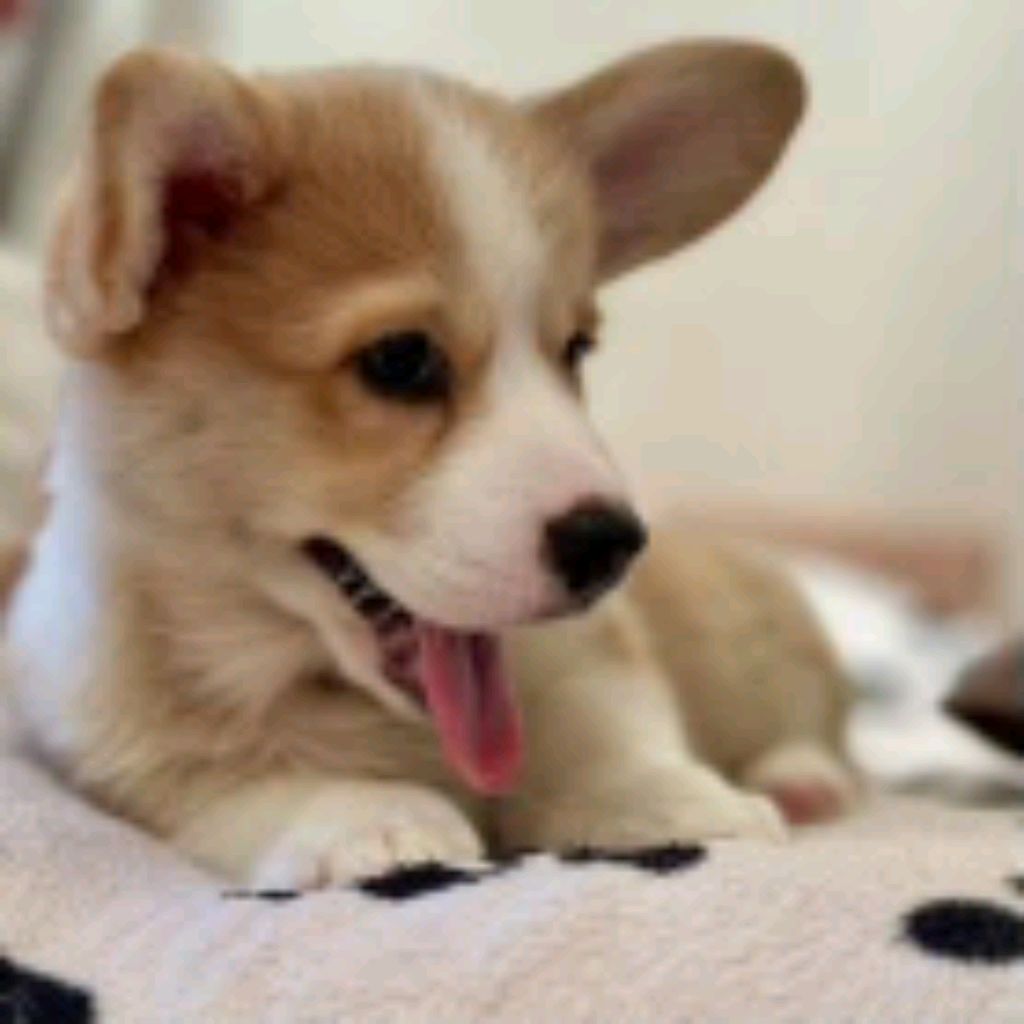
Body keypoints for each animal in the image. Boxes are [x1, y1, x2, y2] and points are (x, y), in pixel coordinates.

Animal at [3, 40, 857, 888]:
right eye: (401, 360)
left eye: (576, 351)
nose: (612, 545)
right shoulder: (128, 756)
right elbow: (259, 785)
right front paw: (379, 822)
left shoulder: (594, 654)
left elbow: (606, 729)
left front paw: (673, 800)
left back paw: (804, 779)